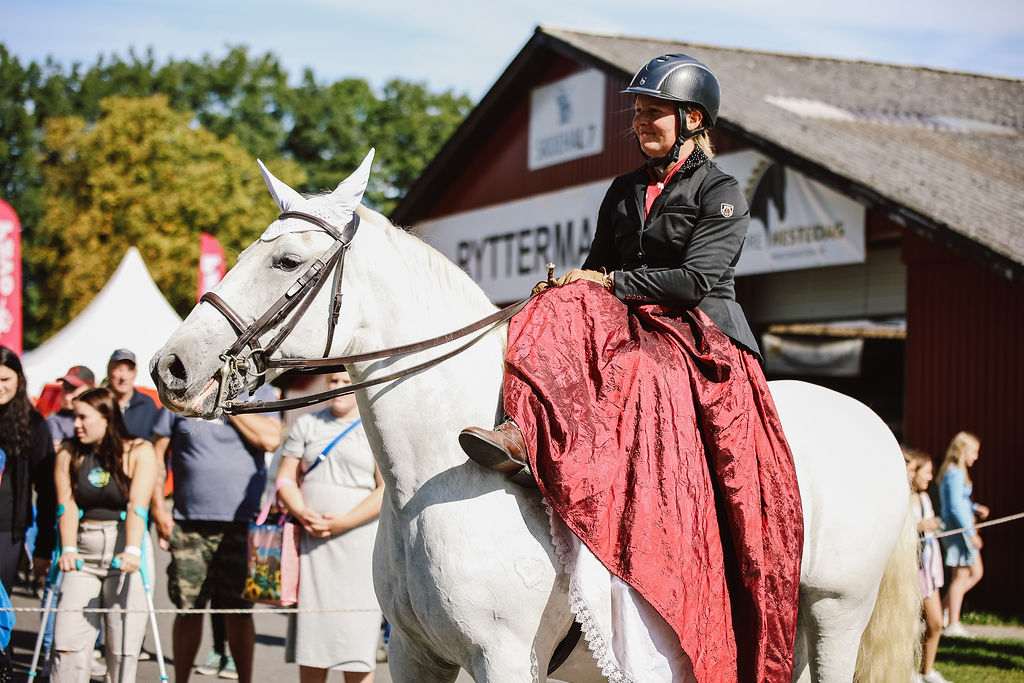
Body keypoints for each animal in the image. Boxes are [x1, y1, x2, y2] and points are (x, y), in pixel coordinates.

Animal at [150, 151, 920, 682]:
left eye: (285, 260)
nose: (172, 368)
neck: (432, 477)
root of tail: (876, 426)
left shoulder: (502, 658)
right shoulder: (416, 658)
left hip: (834, 614)